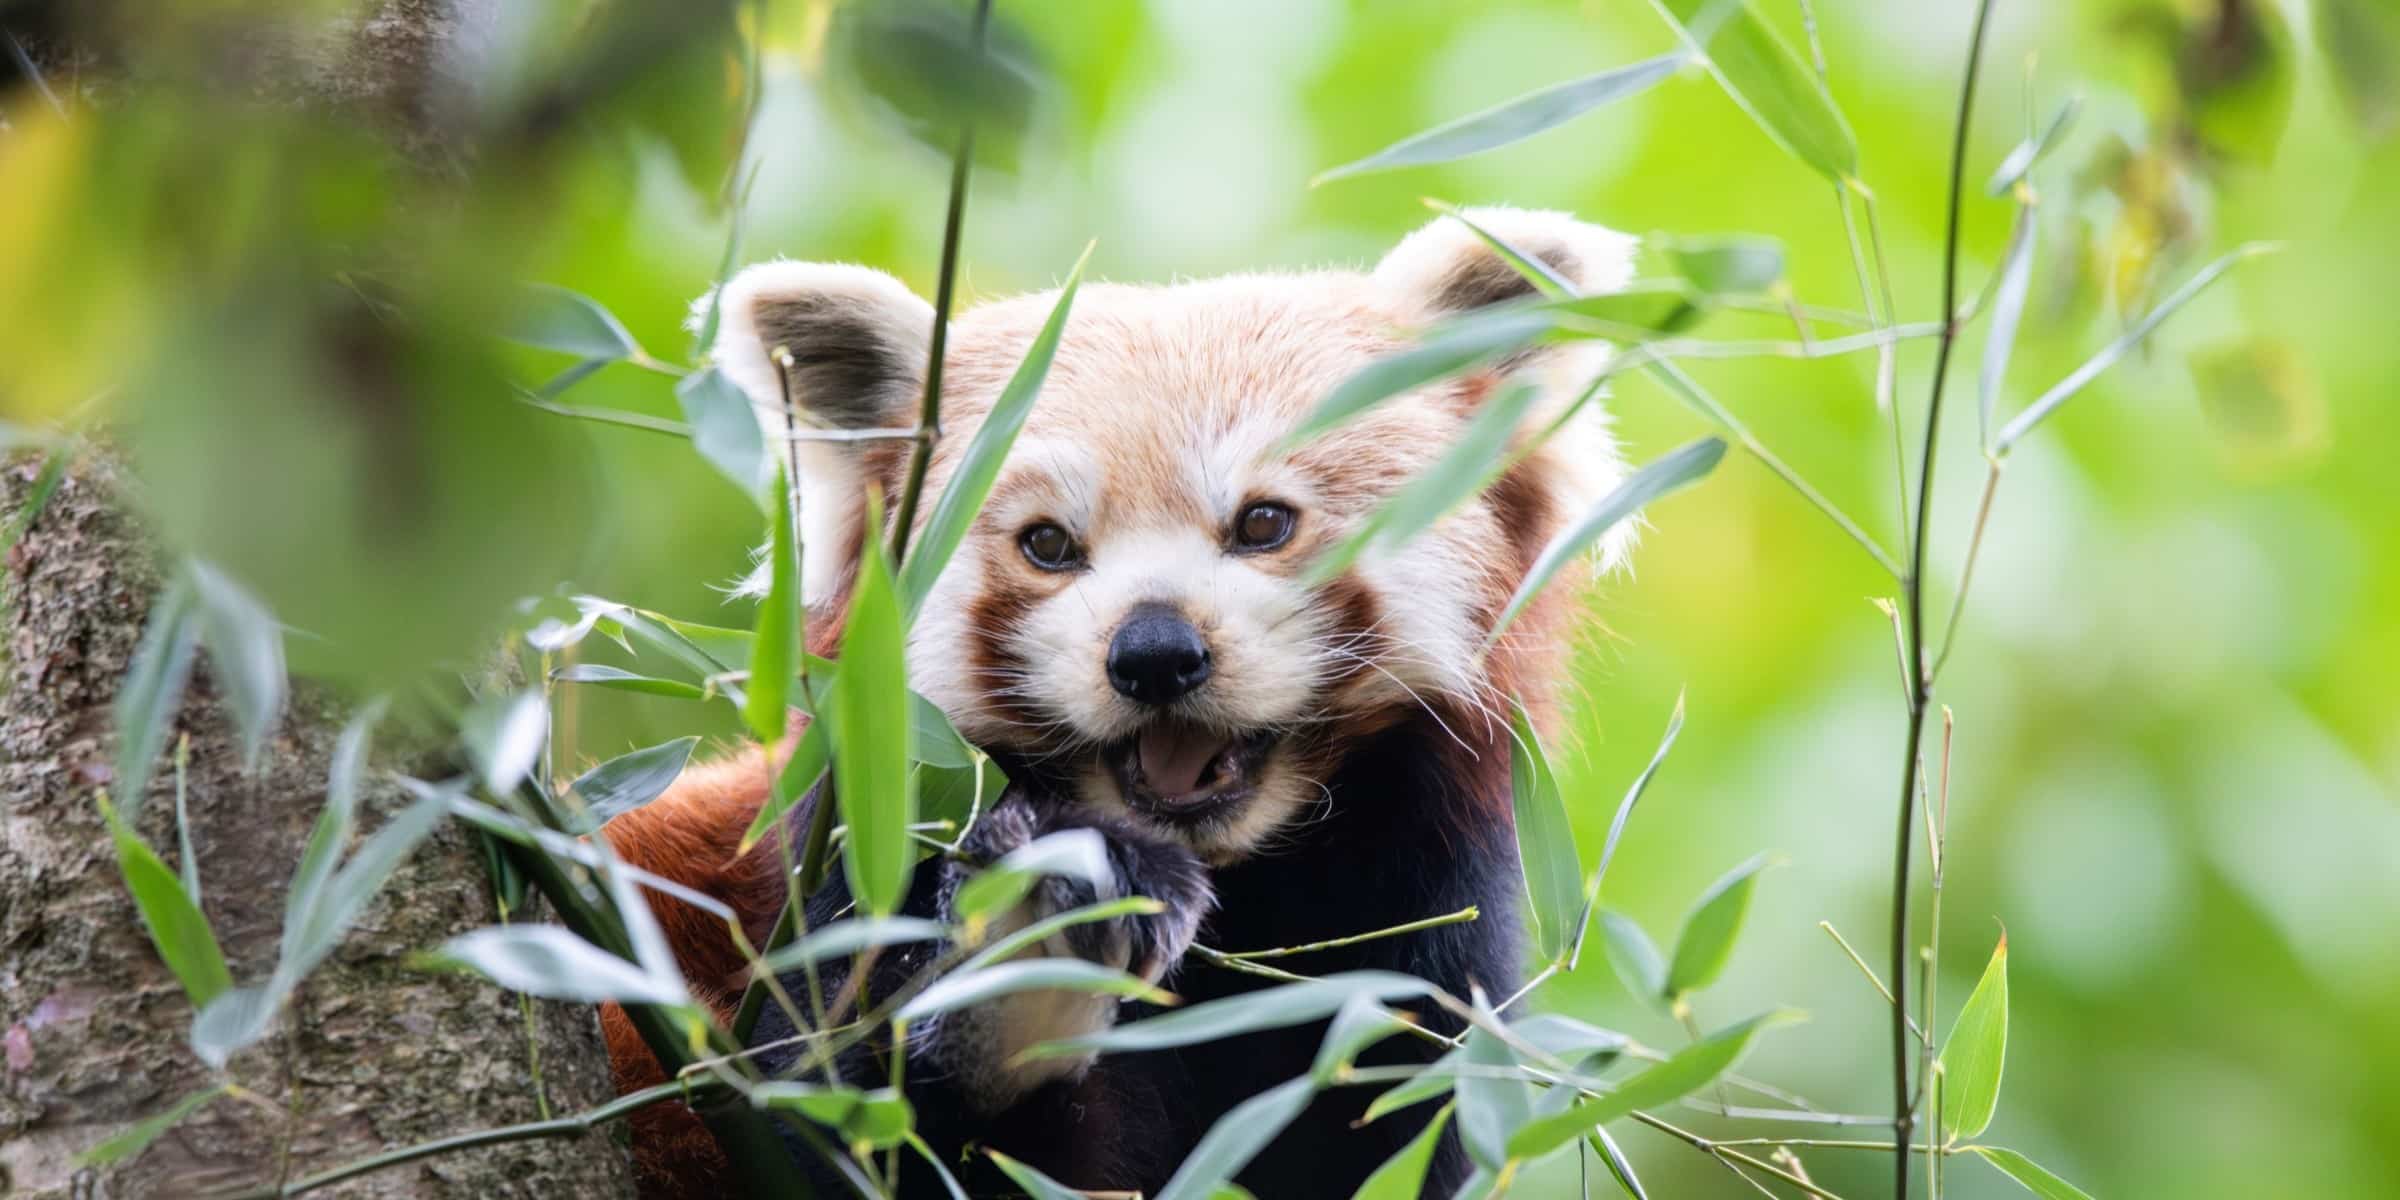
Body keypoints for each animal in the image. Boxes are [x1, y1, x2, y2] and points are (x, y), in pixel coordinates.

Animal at [599, 207, 1642, 1198]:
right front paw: (1030, 943)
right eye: (1048, 544)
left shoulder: (1417, 933)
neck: (1242, 897)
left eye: (1264, 523)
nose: (1153, 654)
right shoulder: (853, 872)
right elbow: (837, 1118)